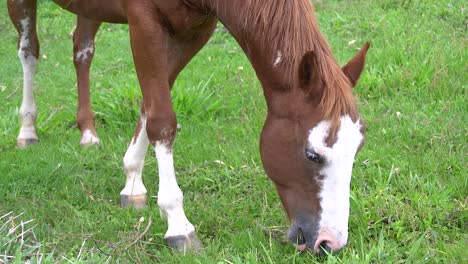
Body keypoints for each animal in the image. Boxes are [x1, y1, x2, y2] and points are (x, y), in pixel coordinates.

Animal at [6, 0, 370, 256]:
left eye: (356, 151)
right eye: (312, 155)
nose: (329, 243)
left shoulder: (196, 29)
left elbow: (151, 102)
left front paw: (132, 181)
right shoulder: (144, 21)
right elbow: (162, 120)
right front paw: (178, 223)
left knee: (82, 49)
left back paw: (87, 132)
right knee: (28, 51)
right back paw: (27, 130)